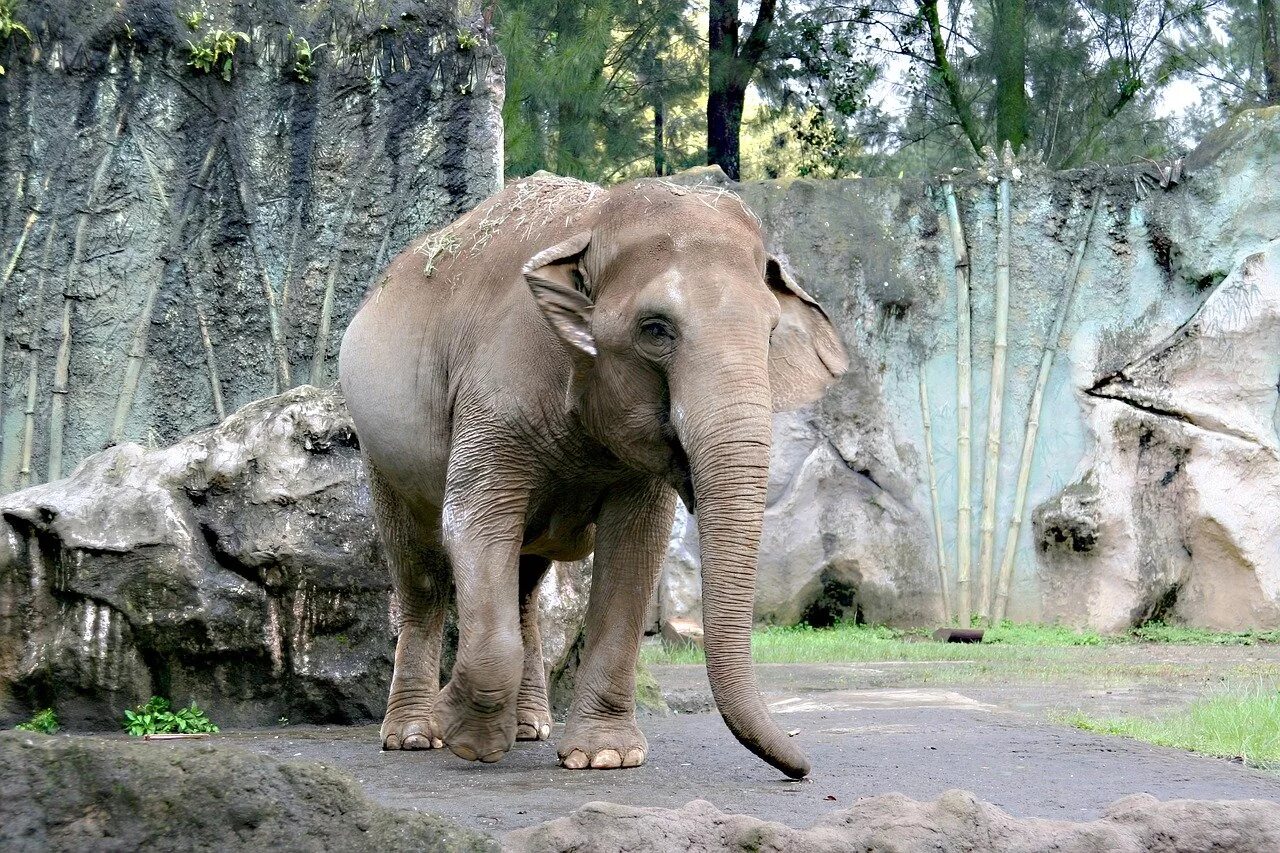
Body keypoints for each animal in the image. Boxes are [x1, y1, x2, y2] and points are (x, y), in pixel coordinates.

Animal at [337, 174, 849, 778]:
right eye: (656, 330)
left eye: (770, 334)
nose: (804, 768)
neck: (596, 223)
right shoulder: (493, 393)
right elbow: (475, 524)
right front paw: (465, 737)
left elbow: (635, 548)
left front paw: (605, 757)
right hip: (379, 448)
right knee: (419, 571)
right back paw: (413, 736)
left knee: (523, 584)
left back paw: (529, 728)